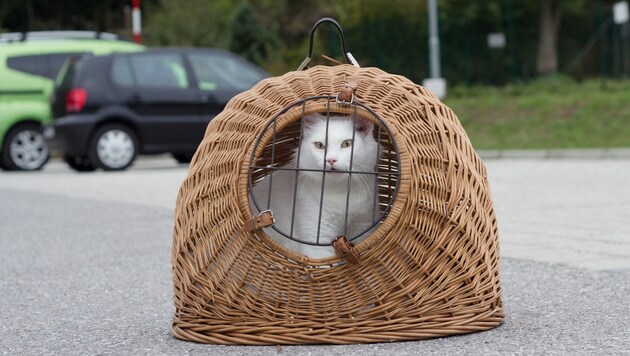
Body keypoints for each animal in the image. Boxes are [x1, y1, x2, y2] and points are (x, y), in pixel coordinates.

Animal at [251, 113, 380, 258]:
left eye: (347, 144)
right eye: (319, 145)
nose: (330, 160)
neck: (340, 193)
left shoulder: (365, 227)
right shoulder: (317, 237)